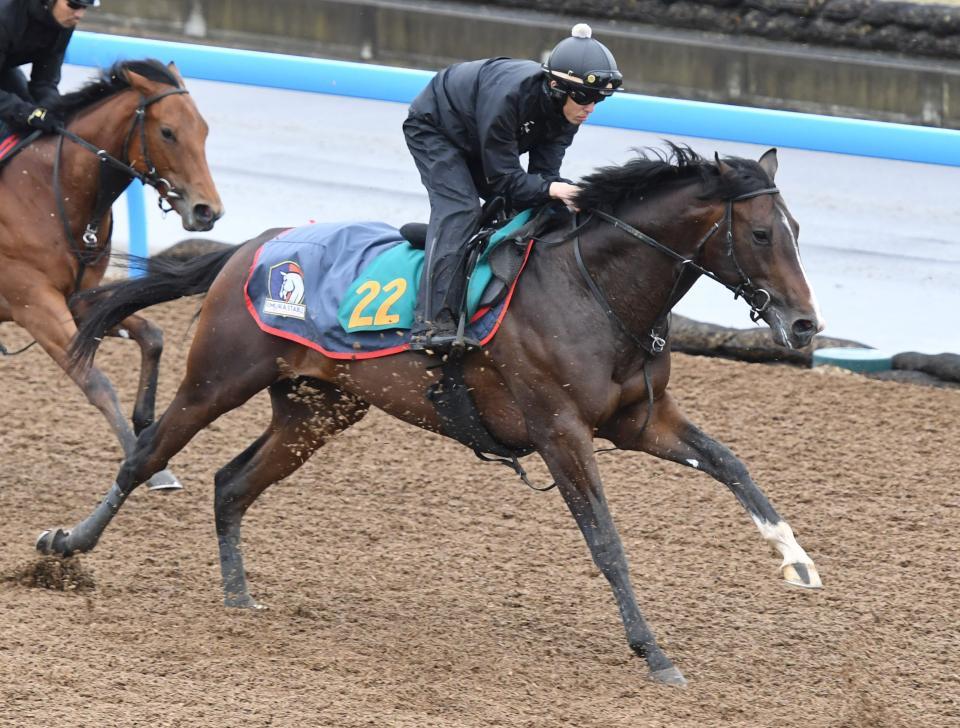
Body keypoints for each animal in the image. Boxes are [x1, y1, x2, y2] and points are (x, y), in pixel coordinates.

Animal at [0, 57, 223, 490]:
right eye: (167, 132)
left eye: (204, 130)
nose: (208, 211)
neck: (46, 190)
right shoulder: (33, 303)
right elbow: (95, 381)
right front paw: (140, 461)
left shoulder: (80, 299)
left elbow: (152, 336)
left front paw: (149, 440)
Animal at [47, 146, 824, 684]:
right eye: (761, 234)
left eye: (796, 227)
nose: (806, 325)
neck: (592, 289)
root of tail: (250, 246)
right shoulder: (560, 431)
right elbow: (605, 540)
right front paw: (653, 652)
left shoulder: (639, 423)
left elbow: (731, 463)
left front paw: (798, 561)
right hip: (218, 377)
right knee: (147, 454)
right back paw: (64, 547)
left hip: (317, 409)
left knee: (231, 483)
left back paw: (238, 596)